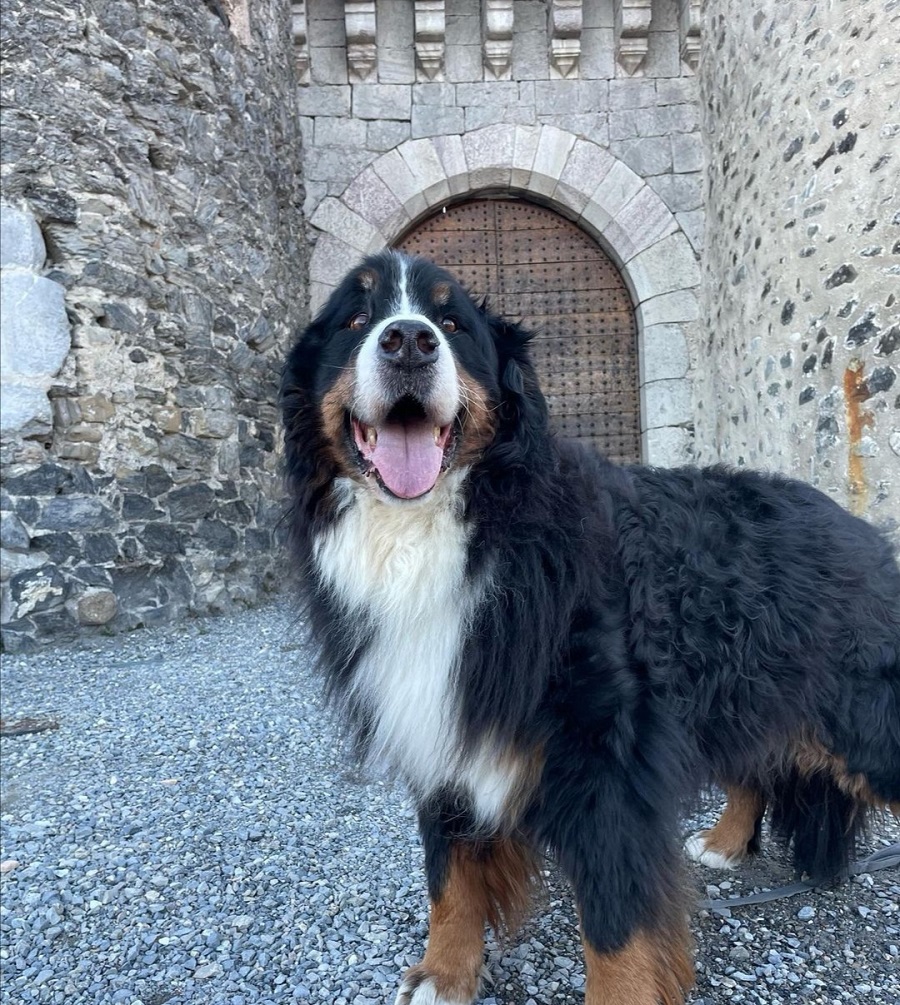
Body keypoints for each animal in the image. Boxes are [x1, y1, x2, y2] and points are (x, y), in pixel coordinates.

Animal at [281, 245, 900, 1005]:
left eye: (452, 323)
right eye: (356, 317)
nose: (408, 341)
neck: (455, 533)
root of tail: (857, 526)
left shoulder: (607, 764)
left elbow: (615, 930)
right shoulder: (439, 720)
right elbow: (448, 872)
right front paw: (444, 975)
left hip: (859, 720)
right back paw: (723, 842)